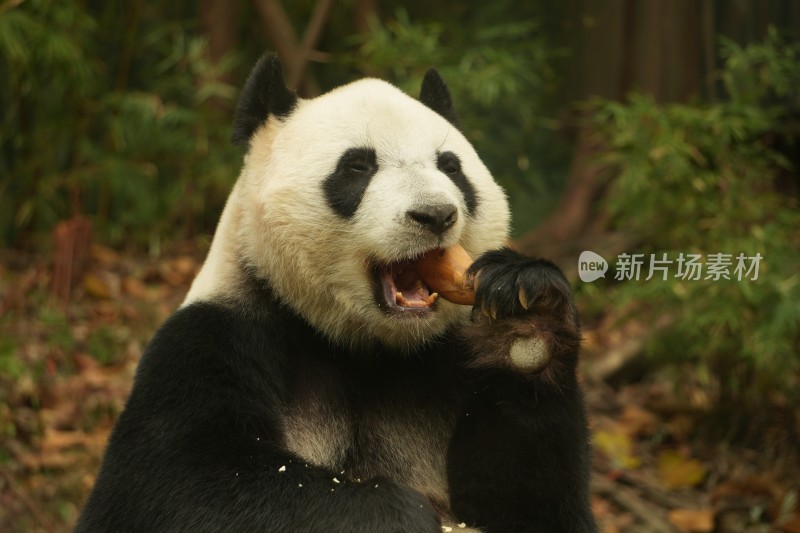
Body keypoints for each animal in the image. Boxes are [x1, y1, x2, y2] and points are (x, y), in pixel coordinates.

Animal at [78, 52, 596, 528]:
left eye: (451, 167)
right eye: (358, 166)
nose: (435, 215)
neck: (365, 343)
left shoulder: (449, 357)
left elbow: (531, 500)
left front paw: (526, 320)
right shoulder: (215, 338)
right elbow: (174, 481)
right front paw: (398, 514)